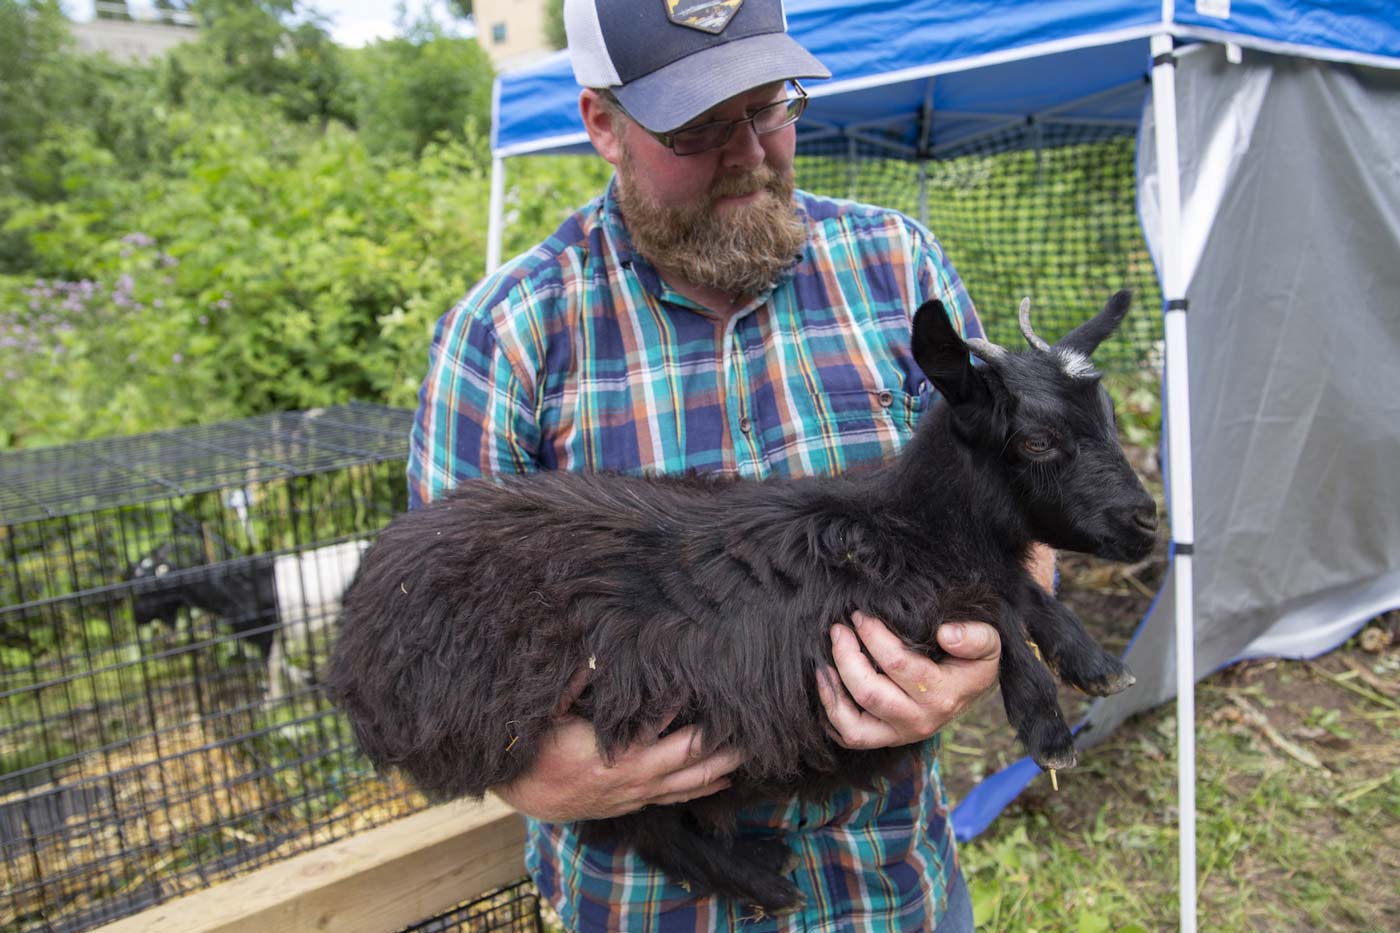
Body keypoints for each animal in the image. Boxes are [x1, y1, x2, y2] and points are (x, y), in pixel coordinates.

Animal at [324, 291, 1159, 907]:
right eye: (1037, 441)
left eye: (1107, 419)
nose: (1146, 521)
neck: (908, 524)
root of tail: (354, 636)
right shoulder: (875, 607)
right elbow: (994, 610)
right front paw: (1047, 723)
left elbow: (1020, 588)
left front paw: (1093, 662)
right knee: (636, 825)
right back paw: (764, 878)